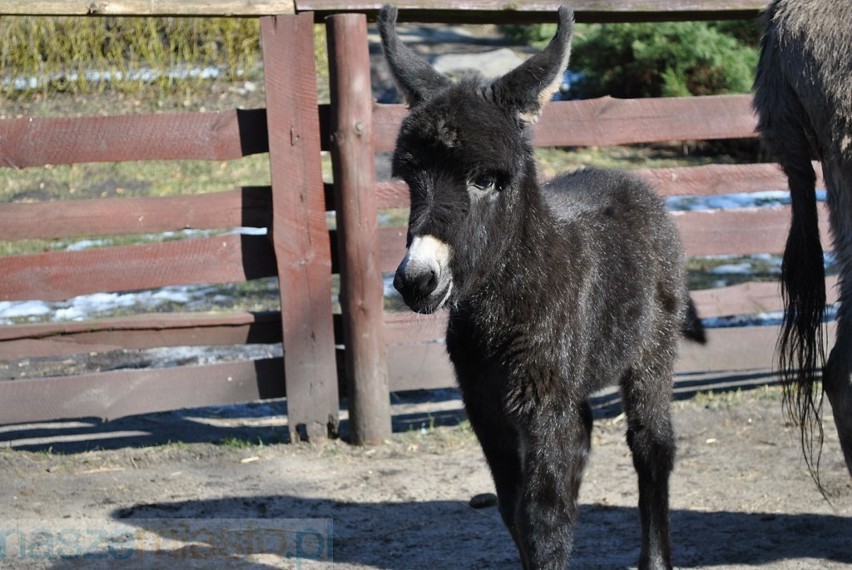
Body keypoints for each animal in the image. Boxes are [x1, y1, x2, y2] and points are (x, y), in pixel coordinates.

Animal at [380, 6, 704, 564]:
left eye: (486, 180)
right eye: (409, 179)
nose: (417, 280)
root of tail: (625, 179)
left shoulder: (542, 403)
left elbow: (546, 517)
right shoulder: (485, 405)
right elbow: (517, 512)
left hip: (651, 352)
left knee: (652, 446)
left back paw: (656, 557)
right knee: (585, 438)